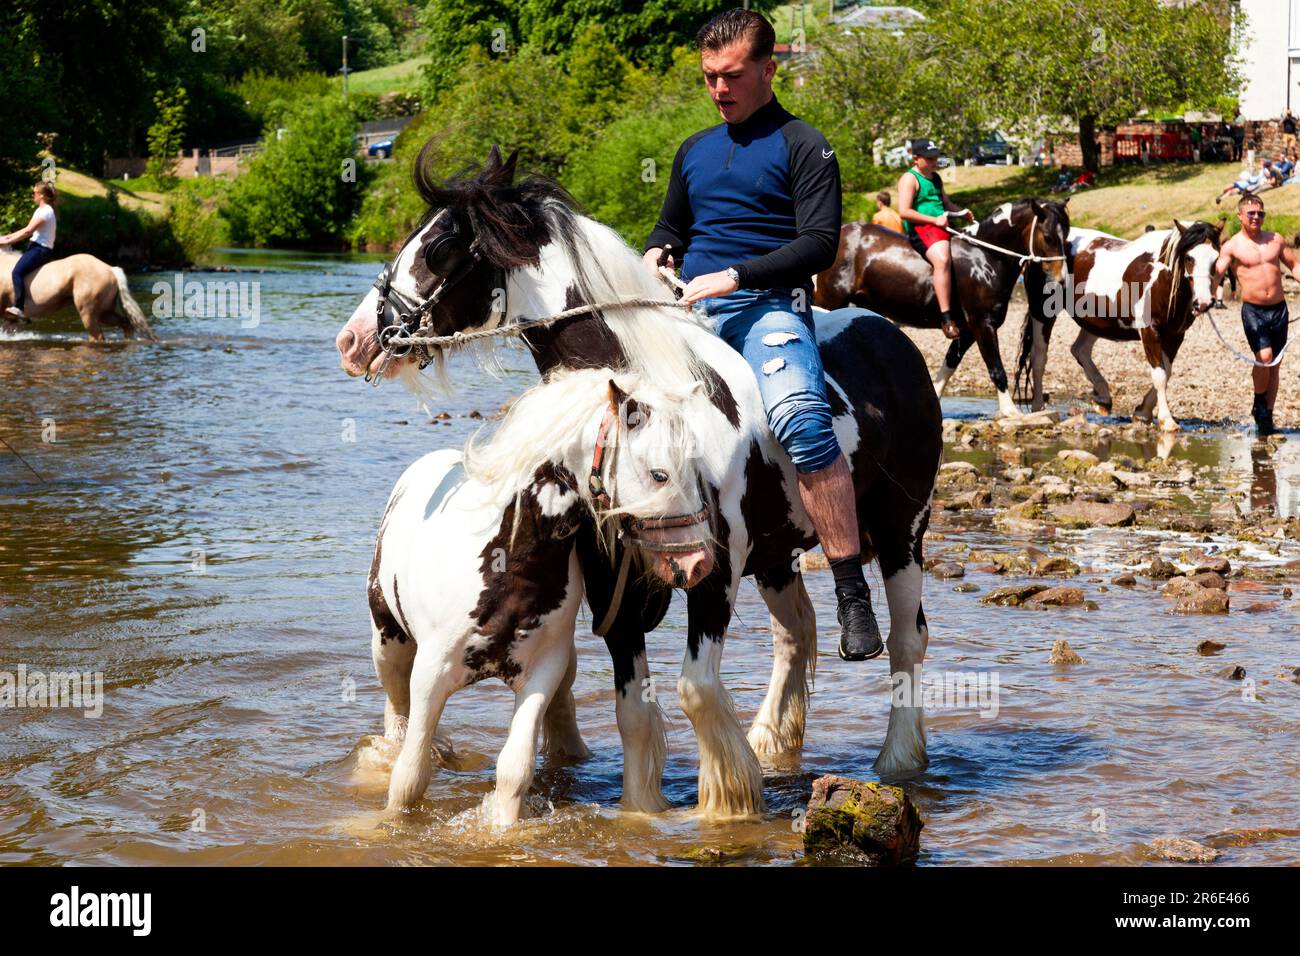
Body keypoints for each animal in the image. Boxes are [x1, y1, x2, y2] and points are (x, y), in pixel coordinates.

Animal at [0, 250, 155, 341]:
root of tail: (111, 269)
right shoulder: (9, 321)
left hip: (88, 312)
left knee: (97, 337)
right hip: (105, 313)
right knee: (126, 324)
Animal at [372, 368, 716, 826]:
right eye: (659, 474)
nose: (699, 563)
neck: (507, 565)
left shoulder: (541, 671)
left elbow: (514, 770)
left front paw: (502, 828)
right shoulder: (430, 673)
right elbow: (409, 774)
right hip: (388, 642)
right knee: (396, 714)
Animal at [812, 198, 1071, 419]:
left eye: (1067, 236)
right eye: (1048, 237)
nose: (1061, 280)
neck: (984, 257)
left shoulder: (967, 331)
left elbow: (949, 364)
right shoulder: (983, 324)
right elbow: (996, 368)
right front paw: (1010, 411)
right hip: (830, 301)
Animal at [1015, 221, 1222, 432]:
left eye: (1216, 258)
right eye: (1189, 257)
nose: (1203, 302)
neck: (1161, 277)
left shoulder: (1175, 335)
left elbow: (1167, 371)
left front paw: (1143, 412)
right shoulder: (1149, 331)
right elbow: (1160, 375)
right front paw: (1166, 420)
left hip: (1095, 320)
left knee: (1080, 350)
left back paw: (1103, 398)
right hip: (1042, 312)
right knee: (1039, 357)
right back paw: (1038, 407)